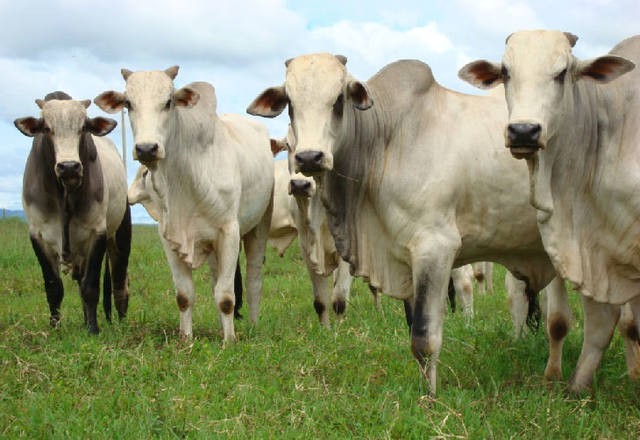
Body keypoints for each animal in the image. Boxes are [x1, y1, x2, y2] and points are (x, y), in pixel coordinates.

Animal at [15, 92, 131, 334]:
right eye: (46, 128)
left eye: (83, 127)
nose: (69, 167)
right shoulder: (37, 235)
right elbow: (53, 288)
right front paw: (54, 329)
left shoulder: (97, 232)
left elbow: (90, 286)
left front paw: (93, 330)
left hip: (119, 236)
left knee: (119, 283)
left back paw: (121, 322)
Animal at [95, 66, 274, 342]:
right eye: (128, 103)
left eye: (168, 102)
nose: (146, 148)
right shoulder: (169, 236)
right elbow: (184, 295)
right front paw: (186, 339)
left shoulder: (229, 232)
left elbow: (226, 296)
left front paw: (229, 341)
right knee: (215, 280)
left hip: (259, 225)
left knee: (254, 278)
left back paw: (252, 325)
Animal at [247, 53, 574, 394]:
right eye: (290, 103)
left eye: (338, 99)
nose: (310, 158)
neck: (387, 140)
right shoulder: (401, 256)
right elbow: (411, 324)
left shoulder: (435, 248)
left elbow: (424, 337)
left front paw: (429, 397)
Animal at [459, 31, 640, 391]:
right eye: (506, 72)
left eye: (561, 73)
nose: (523, 131)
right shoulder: (580, 252)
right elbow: (564, 321)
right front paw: (561, 381)